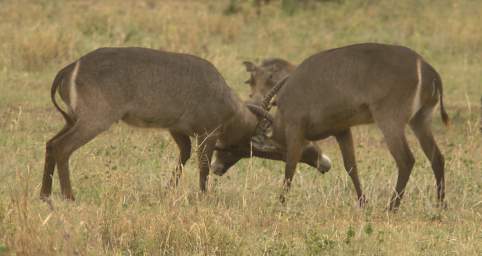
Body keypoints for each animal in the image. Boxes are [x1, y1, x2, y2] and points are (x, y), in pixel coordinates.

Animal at [41, 47, 330, 201]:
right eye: (242, 149)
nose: (325, 164)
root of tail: (69, 68)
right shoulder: (208, 132)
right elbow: (202, 165)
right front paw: (203, 198)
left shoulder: (178, 131)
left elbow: (184, 156)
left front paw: (168, 192)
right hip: (94, 119)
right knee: (63, 147)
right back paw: (69, 197)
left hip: (73, 118)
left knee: (50, 143)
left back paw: (45, 195)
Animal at [214, 42, 448, 210]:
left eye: (233, 146)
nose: (216, 168)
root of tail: (427, 69)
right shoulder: (342, 130)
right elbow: (351, 166)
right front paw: (363, 203)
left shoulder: (295, 128)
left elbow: (290, 166)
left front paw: (280, 203)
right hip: (420, 120)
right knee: (437, 157)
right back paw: (440, 205)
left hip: (390, 120)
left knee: (406, 160)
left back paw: (392, 207)